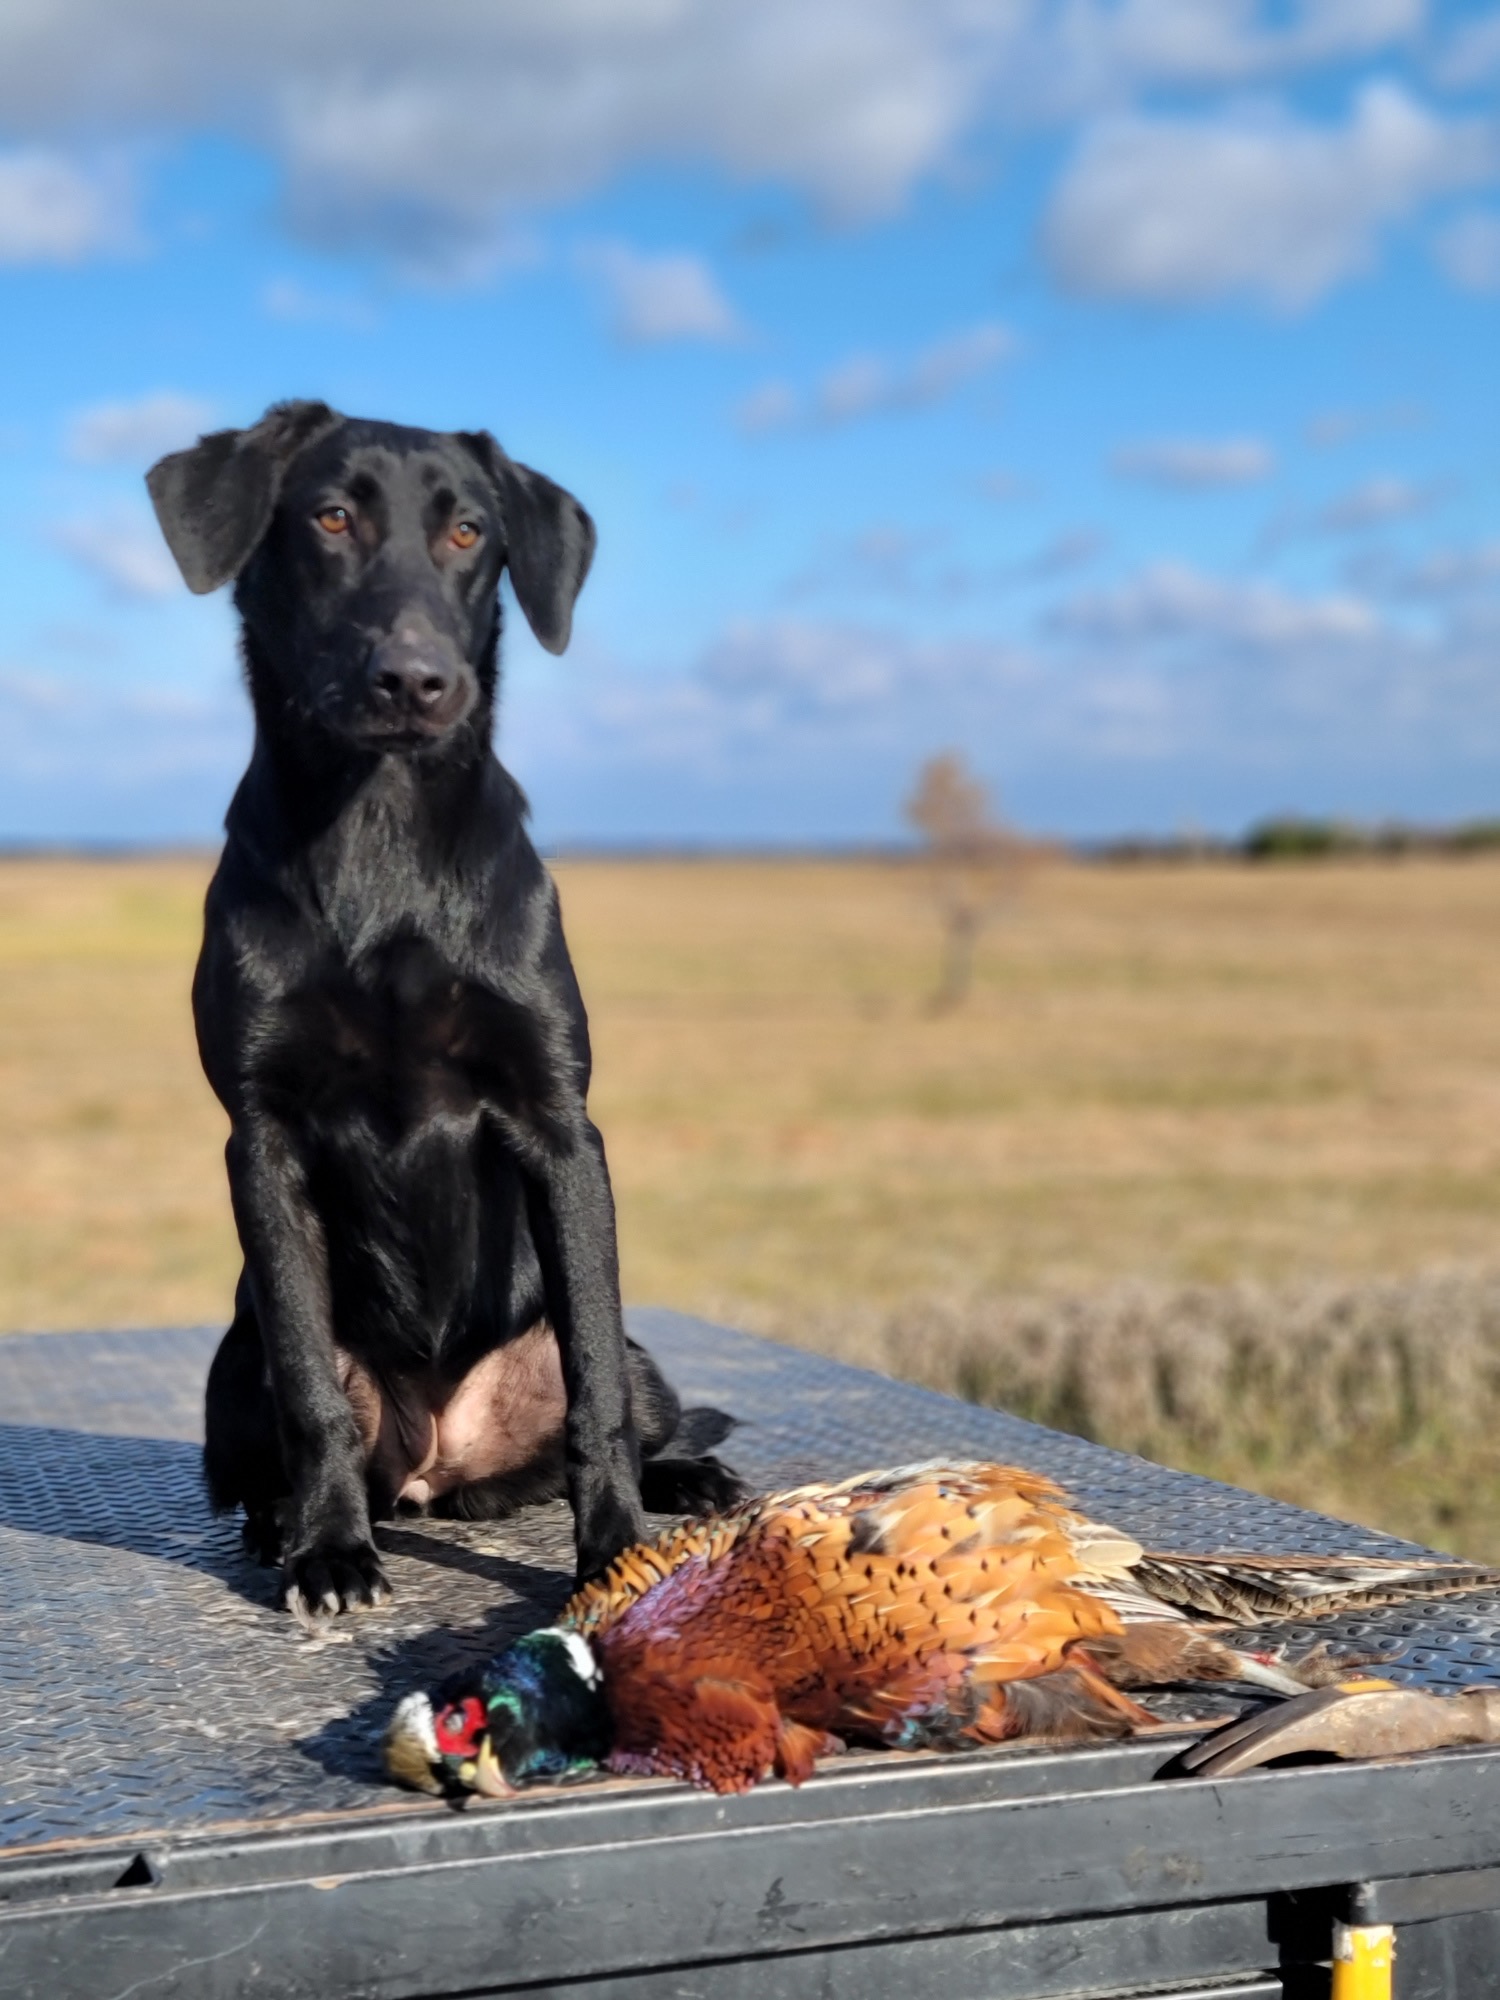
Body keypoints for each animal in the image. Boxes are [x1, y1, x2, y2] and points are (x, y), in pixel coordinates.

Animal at [147, 398, 748, 1616]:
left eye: (469, 531)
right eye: (331, 517)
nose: (415, 680)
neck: (381, 830)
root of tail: (442, 1462)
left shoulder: (558, 1121)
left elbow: (596, 1395)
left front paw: (615, 1552)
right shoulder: (262, 1137)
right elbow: (311, 1394)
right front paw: (329, 1548)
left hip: (633, 1352)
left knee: (626, 1398)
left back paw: (686, 1477)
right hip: (231, 1364)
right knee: (270, 1441)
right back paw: (288, 1521)